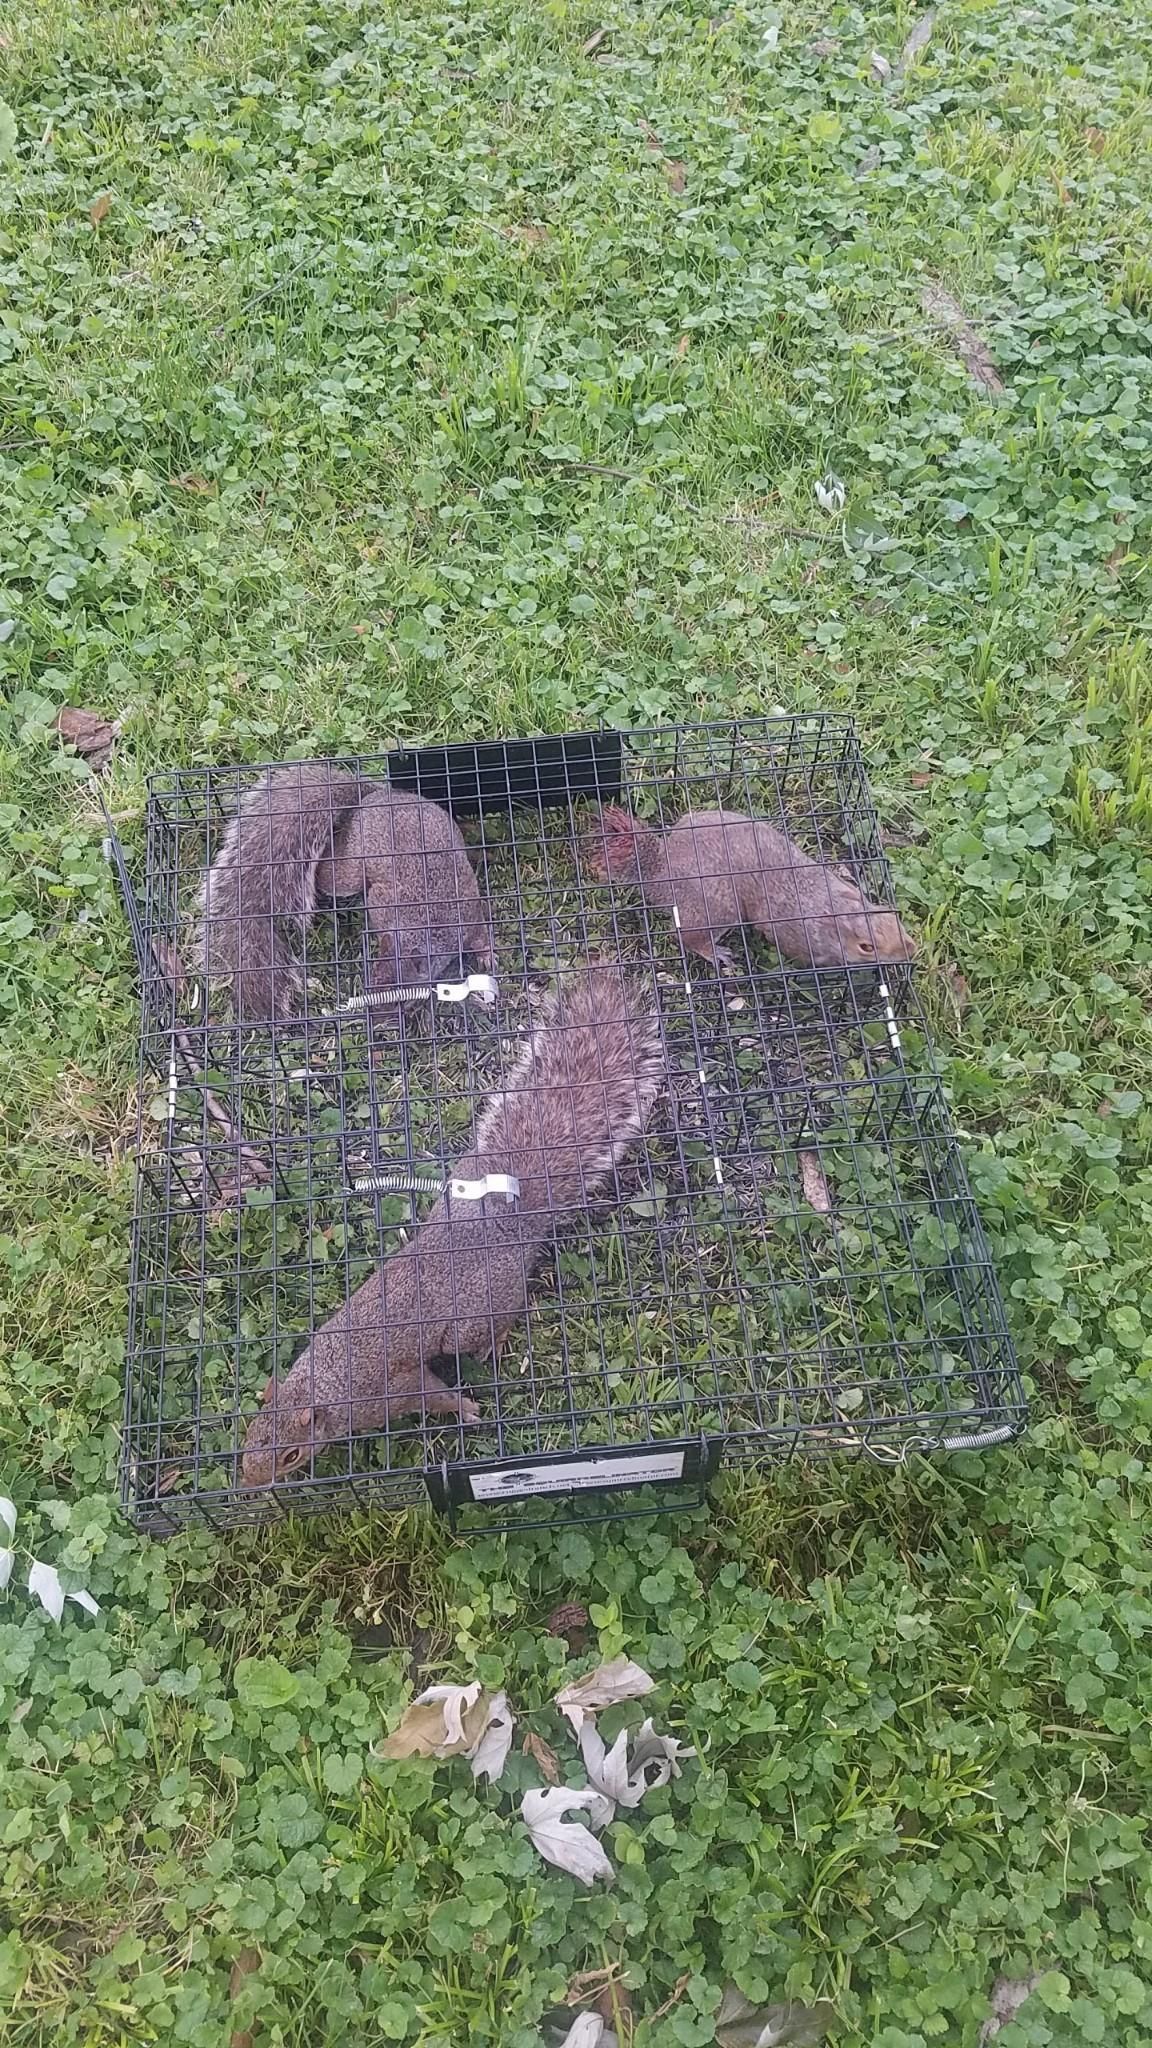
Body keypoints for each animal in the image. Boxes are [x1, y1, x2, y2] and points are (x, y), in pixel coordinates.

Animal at [196, 763, 491, 1022]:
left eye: (402, 998)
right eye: (371, 981)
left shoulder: (468, 913)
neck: (427, 926)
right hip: (348, 869)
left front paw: (487, 955)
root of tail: (369, 797)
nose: (378, 1019)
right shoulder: (385, 905)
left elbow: (479, 934)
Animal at [241, 963, 666, 1485]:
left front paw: (466, 1410)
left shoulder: (387, 1394)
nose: (249, 1483)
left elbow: (432, 1393)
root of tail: (504, 1222)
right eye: (249, 1438)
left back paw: (496, 1343)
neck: (322, 1384)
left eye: (291, 1455)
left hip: (473, 1318)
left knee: (498, 1320)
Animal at [584, 805, 917, 971]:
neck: (826, 905)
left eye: (891, 915)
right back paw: (713, 952)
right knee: (689, 936)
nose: (912, 949)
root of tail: (663, 870)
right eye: (866, 947)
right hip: (717, 908)